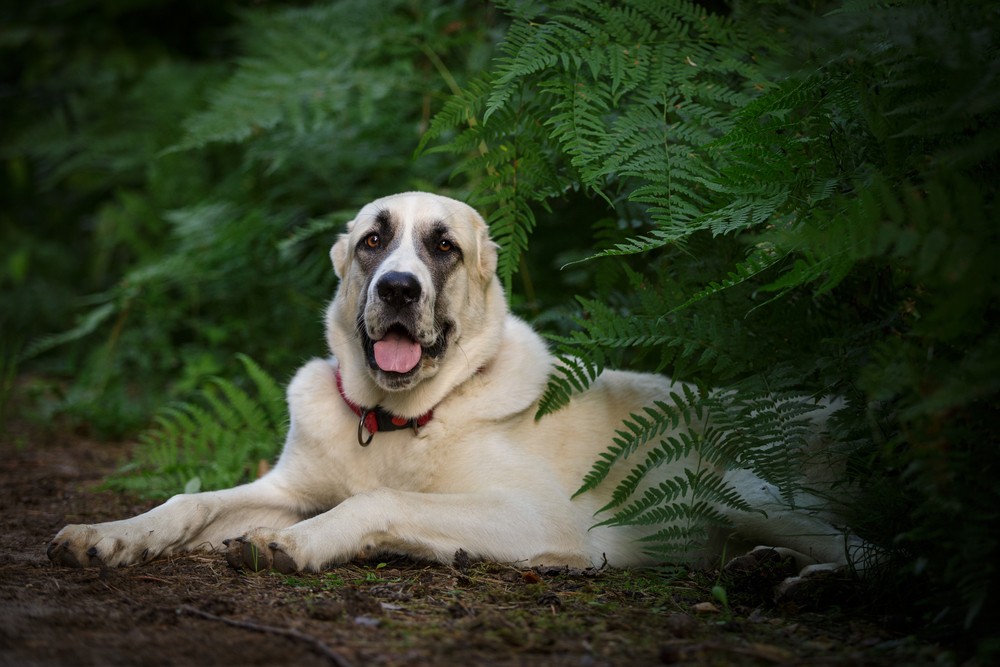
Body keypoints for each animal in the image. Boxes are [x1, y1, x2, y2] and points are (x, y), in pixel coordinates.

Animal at [47, 192, 864, 580]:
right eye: (373, 241)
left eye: (443, 247)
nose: (399, 288)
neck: (395, 420)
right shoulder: (284, 486)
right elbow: (189, 502)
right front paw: (109, 535)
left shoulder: (538, 516)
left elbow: (378, 501)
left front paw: (296, 542)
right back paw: (769, 569)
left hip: (744, 485)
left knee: (875, 556)